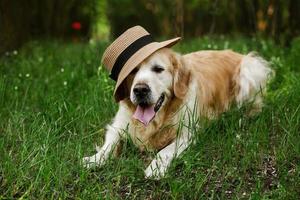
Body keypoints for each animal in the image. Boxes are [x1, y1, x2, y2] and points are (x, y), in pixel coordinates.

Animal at [82, 48, 274, 178]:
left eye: (158, 69)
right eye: (133, 71)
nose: (140, 90)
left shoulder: (186, 133)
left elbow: (165, 151)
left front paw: (155, 168)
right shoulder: (118, 125)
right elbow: (109, 144)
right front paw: (95, 159)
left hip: (249, 71)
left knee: (253, 106)